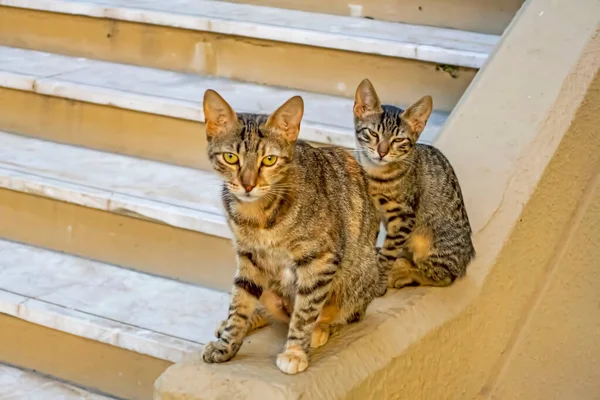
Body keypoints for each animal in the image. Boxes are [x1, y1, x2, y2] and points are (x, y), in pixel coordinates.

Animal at [199, 89, 382, 374]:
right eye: (231, 158)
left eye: (269, 160)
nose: (248, 185)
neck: (260, 215)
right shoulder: (248, 257)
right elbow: (239, 304)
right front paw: (227, 344)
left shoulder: (320, 259)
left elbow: (305, 311)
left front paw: (295, 351)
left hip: (361, 273)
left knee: (344, 313)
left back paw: (320, 329)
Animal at [352, 79, 474, 290]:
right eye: (373, 134)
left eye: (399, 140)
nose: (382, 152)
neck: (377, 174)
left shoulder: (404, 217)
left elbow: (388, 254)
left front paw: (378, 281)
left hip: (432, 242)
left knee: (444, 276)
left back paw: (405, 273)